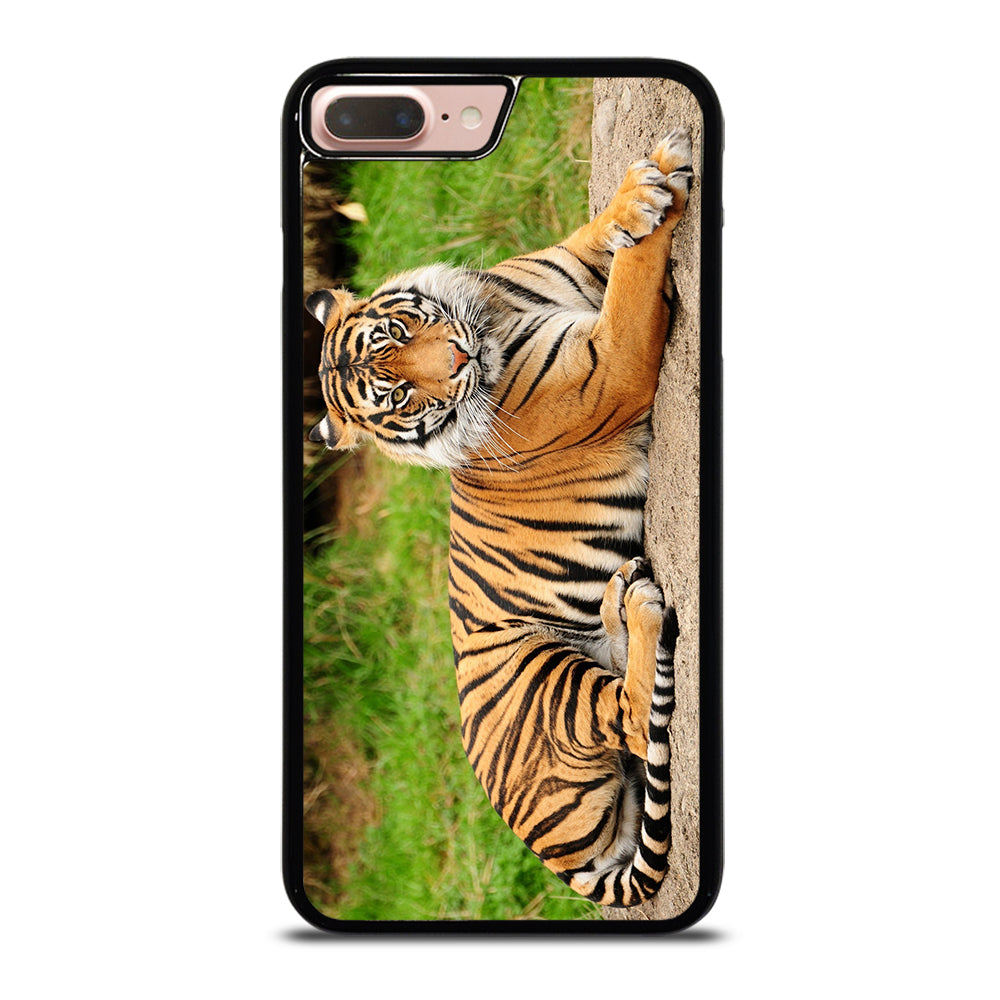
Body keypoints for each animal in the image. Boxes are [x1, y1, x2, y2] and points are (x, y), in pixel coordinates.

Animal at [306, 127, 694, 907]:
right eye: (396, 394)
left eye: (399, 331)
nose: (458, 359)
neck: (494, 314)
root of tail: (559, 860)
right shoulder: (611, 365)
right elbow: (634, 279)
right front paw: (657, 191)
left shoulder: (567, 268)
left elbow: (603, 236)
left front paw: (643, 188)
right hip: (539, 674)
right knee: (634, 716)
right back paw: (639, 608)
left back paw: (620, 598)